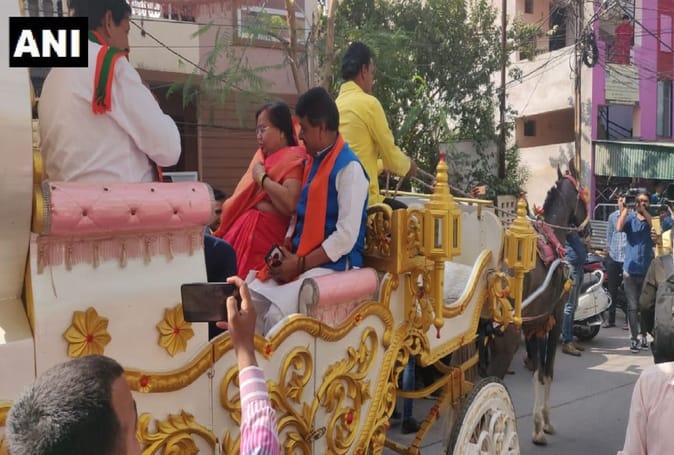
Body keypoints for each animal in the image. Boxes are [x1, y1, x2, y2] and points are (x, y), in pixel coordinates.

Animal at [484, 159, 590, 446]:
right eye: (584, 196)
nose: (588, 230)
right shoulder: (554, 318)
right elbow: (548, 371)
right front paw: (546, 424)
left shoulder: (535, 323)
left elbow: (537, 372)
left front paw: (537, 426)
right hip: (505, 342)